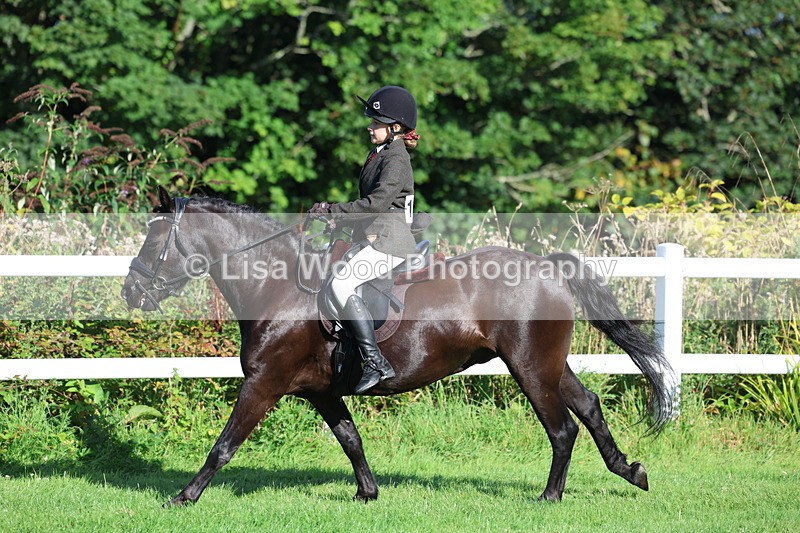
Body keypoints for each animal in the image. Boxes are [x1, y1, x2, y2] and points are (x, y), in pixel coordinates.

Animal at [121, 187, 675, 506]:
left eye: (153, 242)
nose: (131, 292)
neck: (278, 289)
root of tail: (547, 266)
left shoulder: (264, 384)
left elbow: (224, 445)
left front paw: (183, 497)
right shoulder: (320, 391)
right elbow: (351, 440)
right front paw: (367, 493)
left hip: (531, 368)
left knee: (562, 428)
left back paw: (550, 497)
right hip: (549, 364)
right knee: (590, 407)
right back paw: (632, 472)